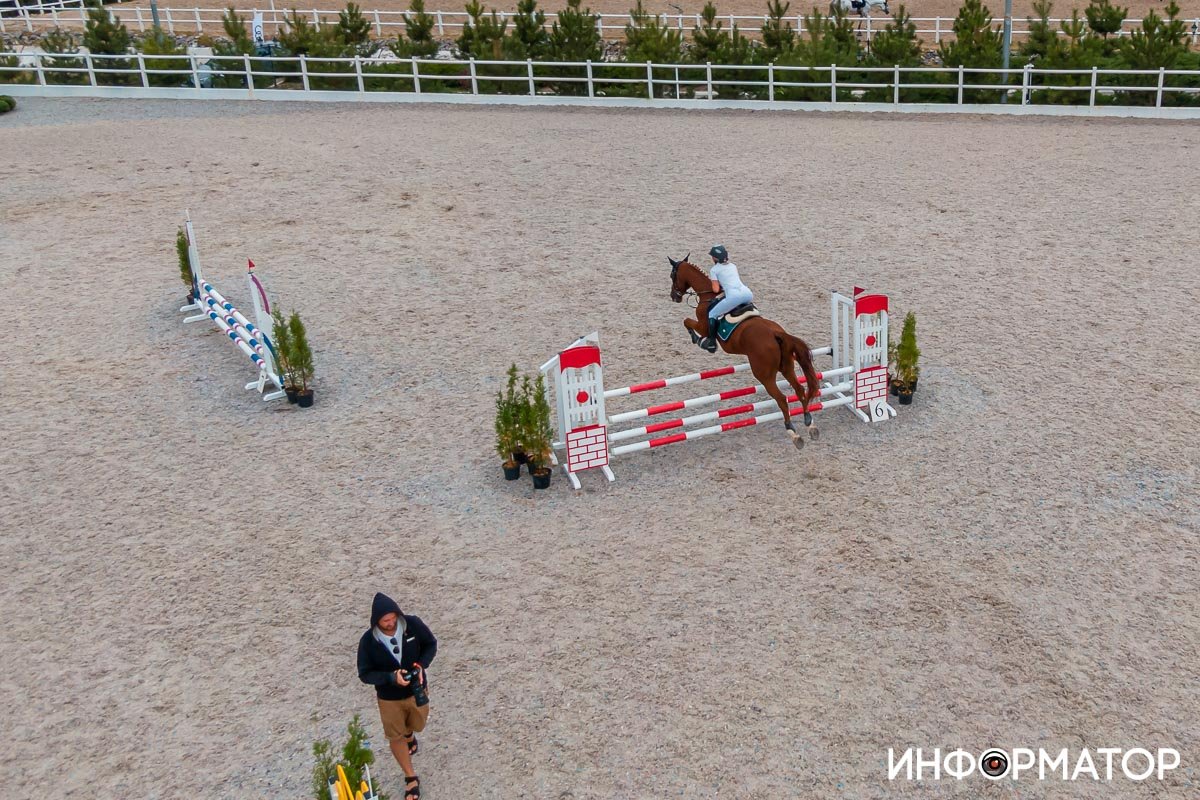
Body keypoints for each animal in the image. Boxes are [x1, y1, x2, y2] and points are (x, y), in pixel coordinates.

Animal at [668, 255, 823, 449]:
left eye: (673, 275)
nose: (674, 296)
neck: (708, 295)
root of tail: (776, 333)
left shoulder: (703, 324)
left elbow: (687, 322)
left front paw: (703, 342)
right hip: (787, 367)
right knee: (800, 390)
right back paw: (810, 423)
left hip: (764, 375)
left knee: (781, 399)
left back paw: (793, 432)